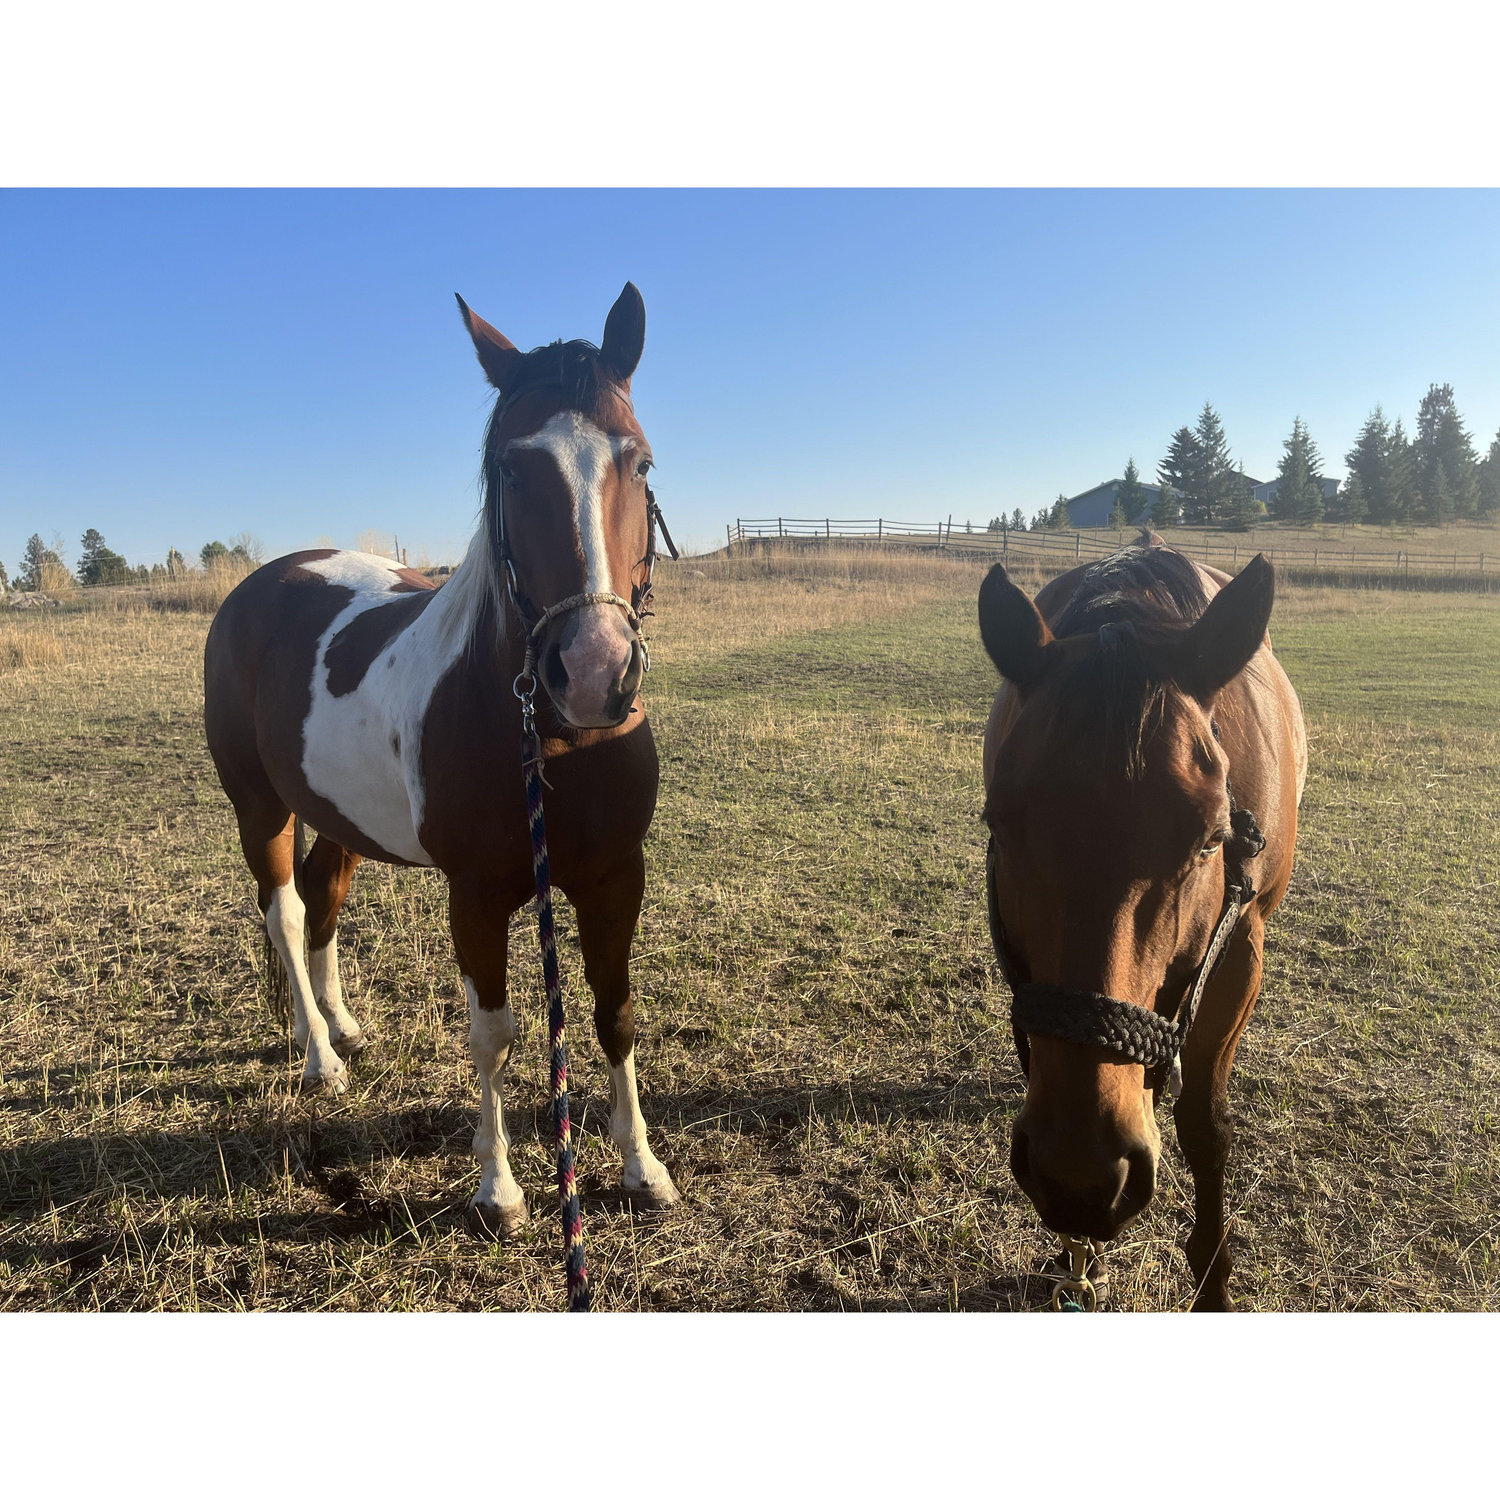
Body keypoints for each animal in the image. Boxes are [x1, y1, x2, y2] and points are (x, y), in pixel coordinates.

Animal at [203, 282, 680, 1238]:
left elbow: (614, 1014)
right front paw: (498, 1189)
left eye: (640, 462)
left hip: (337, 817)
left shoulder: (617, 878)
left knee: (323, 899)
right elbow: (492, 1035)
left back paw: (341, 1025)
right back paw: (321, 1058)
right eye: (510, 470)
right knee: (284, 913)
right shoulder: (479, 896)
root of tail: (259, 585)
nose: (594, 673)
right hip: (258, 807)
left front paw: (641, 1166)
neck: (553, 740)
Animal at [977, 534, 1306, 1309]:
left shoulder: (1240, 956)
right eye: (999, 825)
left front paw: (1213, 1275)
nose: (1081, 1178)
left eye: (1211, 839)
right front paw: (1074, 1255)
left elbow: (1205, 1126)